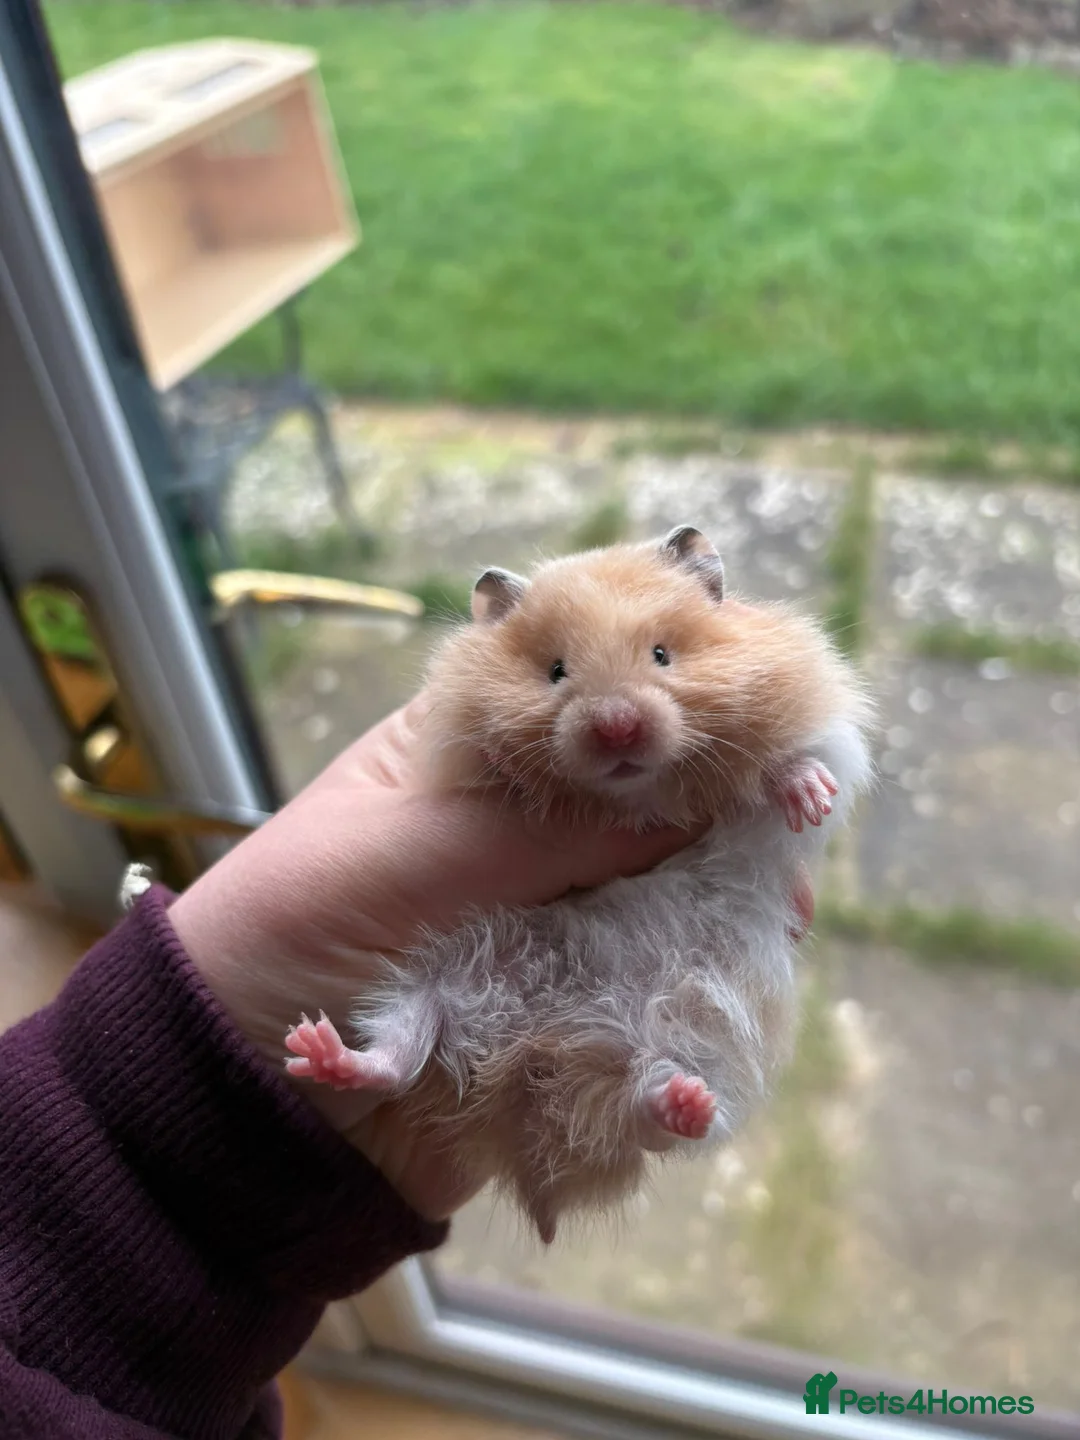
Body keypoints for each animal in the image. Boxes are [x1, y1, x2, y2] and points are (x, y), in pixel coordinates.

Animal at [285, 525, 875, 1243]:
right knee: (397, 1058)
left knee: (650, 1110)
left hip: (677, 1039)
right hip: (434, 985)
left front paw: (810, 799)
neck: (636, 798)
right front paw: (511, 769)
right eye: (556, 671)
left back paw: (686, 1104)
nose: (617, 725)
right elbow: (487, 767)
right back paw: (315, 1051)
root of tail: (536, 1074)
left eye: (662, 654)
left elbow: (793, 764)